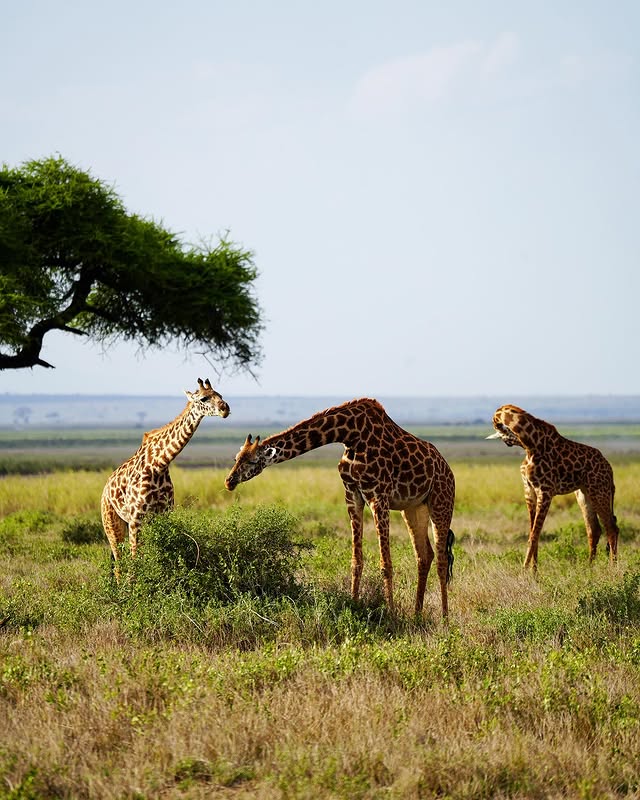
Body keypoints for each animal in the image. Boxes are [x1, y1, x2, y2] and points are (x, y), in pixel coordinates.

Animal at [101, 378, 230, 575]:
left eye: (220, 395)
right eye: (204, 398)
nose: (225, 408)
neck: (158, 465)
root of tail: (105, 488)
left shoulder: (164, 513)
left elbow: (163, 555)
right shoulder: (136, 518)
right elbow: (135, 562)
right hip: (111, 522)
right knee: (119, 564)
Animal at [224, 398, 456, 617]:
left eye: (252, 462)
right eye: (236, 458)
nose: (229, 481)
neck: (350, 435)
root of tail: (447, 469)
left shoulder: (378, 496)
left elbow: (386, 564)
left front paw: (391, 614)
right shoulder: (352, 496)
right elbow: (356, 561)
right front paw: (354, 605)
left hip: (441, 502)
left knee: (442, 559)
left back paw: (445, 618)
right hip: (413, 509)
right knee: (424, 556)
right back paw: (417, 614)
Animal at [487, 404, 619, 571]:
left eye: (504, 435)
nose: (509, 441)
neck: (532, 445)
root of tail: (609, 469)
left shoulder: (545, 491)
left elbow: (534, 535)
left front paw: (524, 570)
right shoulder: (529, 491)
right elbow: (533, 534)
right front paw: (533, 572)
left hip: (599, 491)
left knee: (612, 528)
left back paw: (613, 569)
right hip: (584, 495)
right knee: (594, 530)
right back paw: (589, 568)